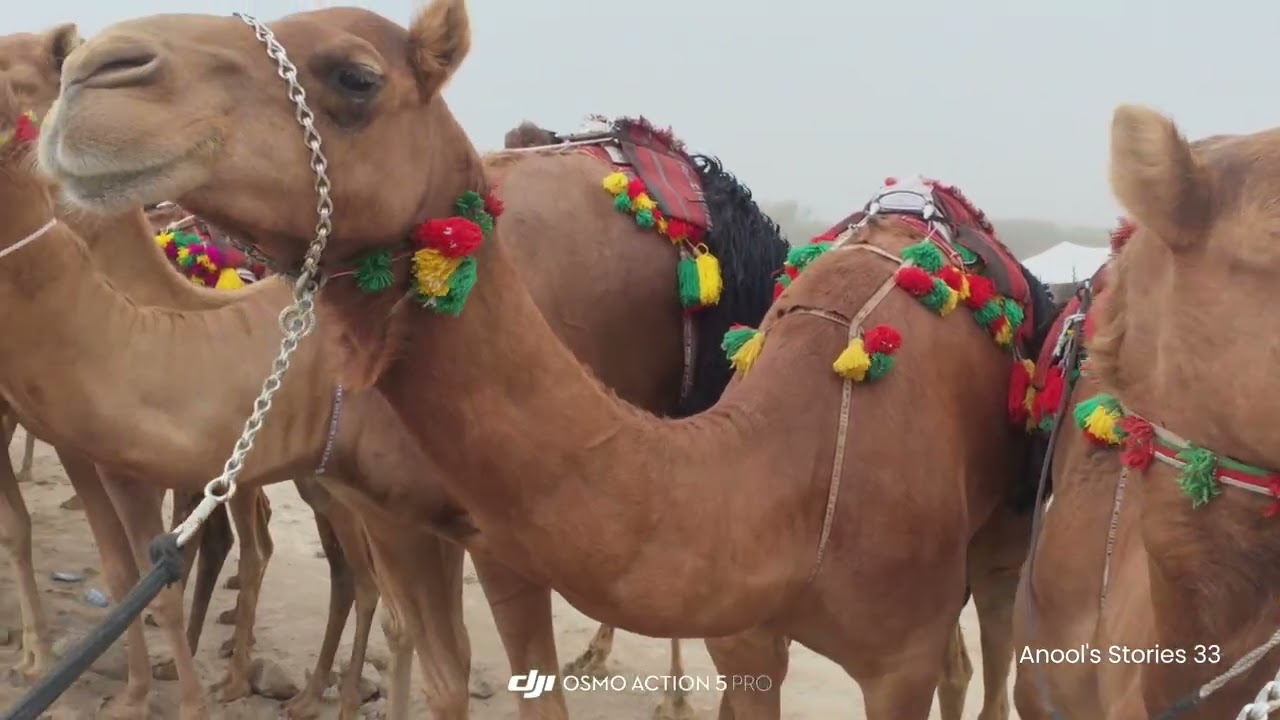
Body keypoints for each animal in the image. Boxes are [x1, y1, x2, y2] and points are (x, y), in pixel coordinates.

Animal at [36, 2, 1058, 717]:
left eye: (357, 77)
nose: (96, 72)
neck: (804, 479)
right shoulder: (740, 636)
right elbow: (433, 666)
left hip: (1003, 536)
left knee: (991, 656)